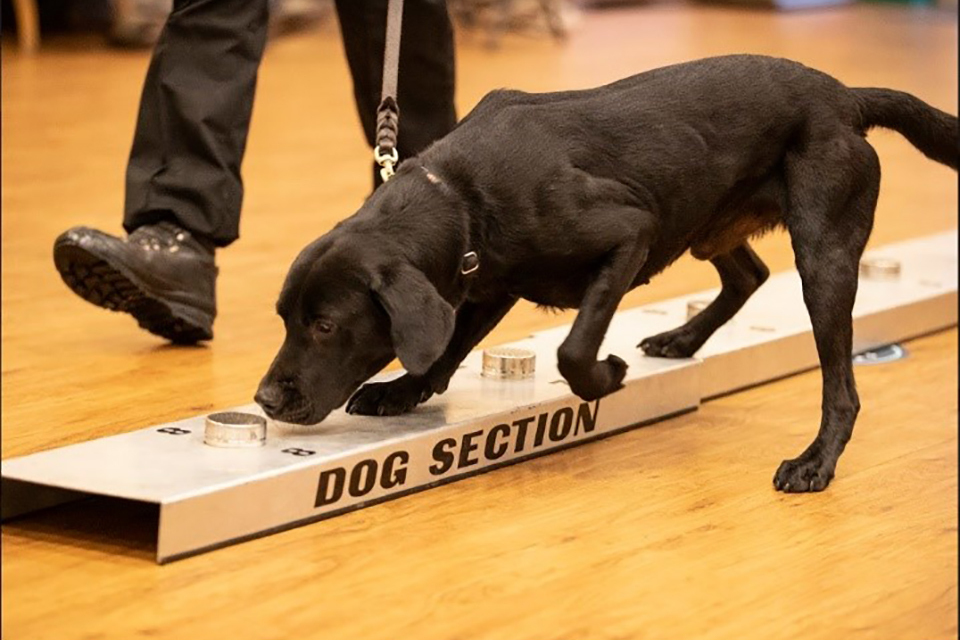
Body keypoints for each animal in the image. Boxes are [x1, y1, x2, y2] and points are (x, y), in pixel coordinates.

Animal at [256, 55, 960, 492]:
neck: (462, 195)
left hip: (821, 258)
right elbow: (447, 346)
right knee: (749, 275)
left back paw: (816, 462)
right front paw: (402, 390)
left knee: (841, 387)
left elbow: (573, 348)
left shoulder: (630, 234)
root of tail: (846, 98)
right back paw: (681, 338)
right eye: (285, 318)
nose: (264, 400)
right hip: (704, 219)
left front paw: (608, 375)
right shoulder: (484, 277)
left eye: (325, 325)